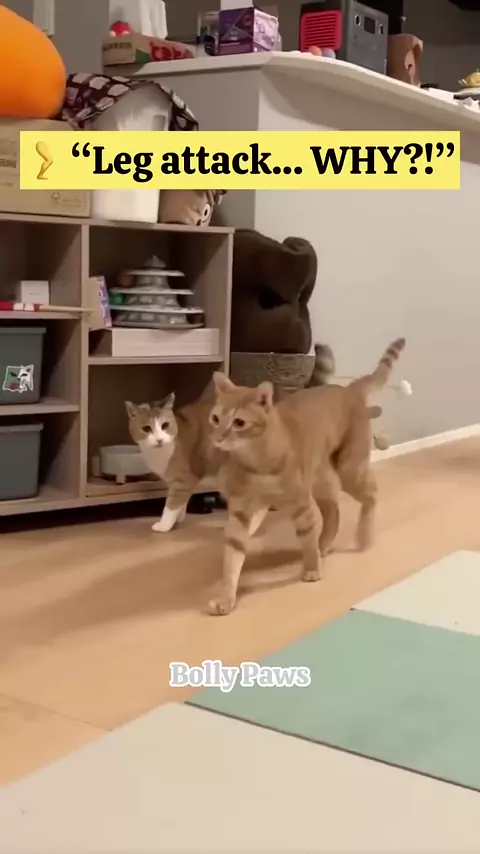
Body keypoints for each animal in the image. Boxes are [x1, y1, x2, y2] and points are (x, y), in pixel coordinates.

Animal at [126, 393, 224, 533]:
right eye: (146, 428)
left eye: (165, 425)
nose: (159, 440)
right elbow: (181, 503)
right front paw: (177, 520)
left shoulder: (183, 479)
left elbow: (171, 504)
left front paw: (164, 525)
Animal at [207, 338, 405, 616]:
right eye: (215, 418)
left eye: (239, 423)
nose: (218, 438)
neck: (257, 463)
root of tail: (348, 390)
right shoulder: (241, 513)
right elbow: (232, 560)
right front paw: (226, 598)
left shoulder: (300, 505)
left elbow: (307, 538)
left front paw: (312, 569)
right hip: (323, 480)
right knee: (333, 511)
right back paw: (326, 545)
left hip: (349, 470)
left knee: (371, 495)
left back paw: (363, 538)